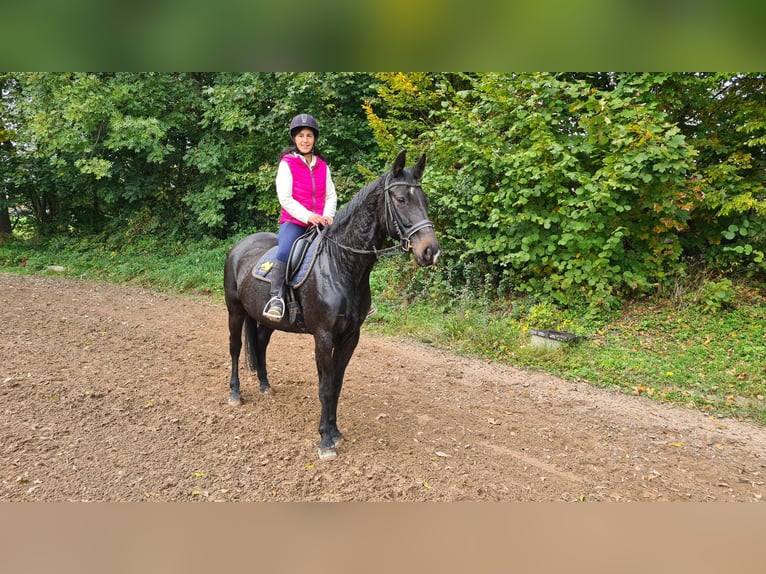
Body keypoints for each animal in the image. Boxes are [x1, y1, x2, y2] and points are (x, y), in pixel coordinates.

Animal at [225, 151, 440, 462]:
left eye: (425, 200)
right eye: (400, 199)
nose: (431, 252)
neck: (340, 264)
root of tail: (239, 247)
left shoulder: (350, 336)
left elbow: (336, 384)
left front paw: (335, 432)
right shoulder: (324, 337)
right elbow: (325, 387)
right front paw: (325, 441)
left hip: (266, 319)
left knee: (261, 344)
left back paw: (264, 385)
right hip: (235, 311)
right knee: (235, 348)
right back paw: (235, 394)